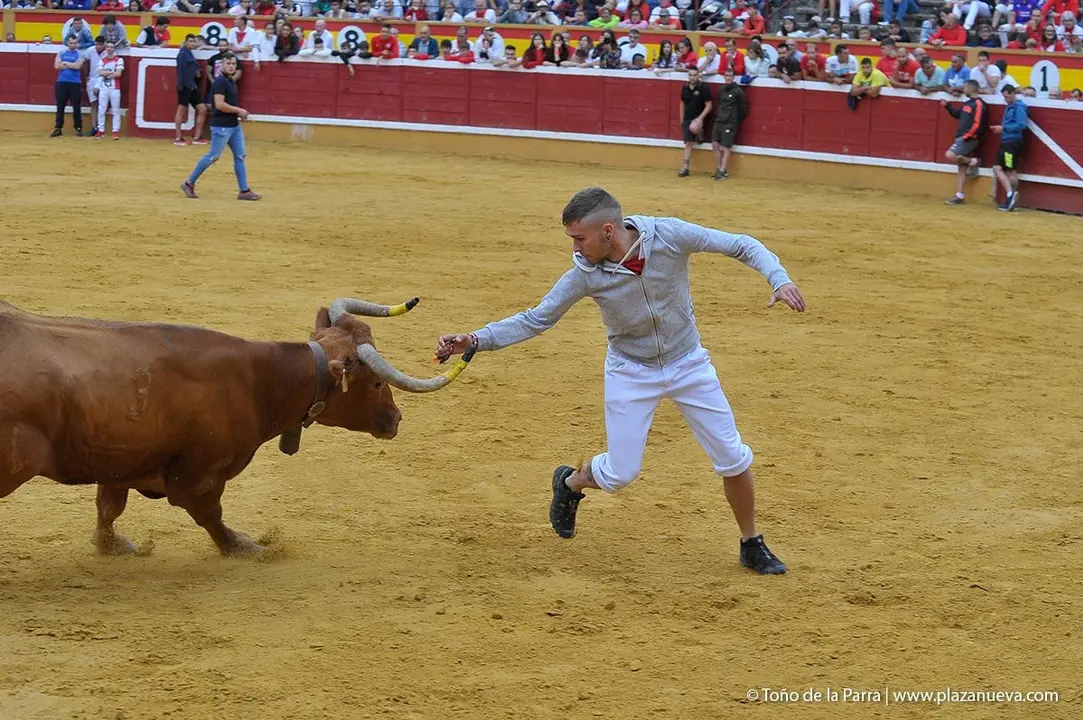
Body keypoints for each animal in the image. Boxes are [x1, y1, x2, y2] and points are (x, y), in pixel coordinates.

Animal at [0, 296, 474, 557]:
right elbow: (211, 515)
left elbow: (108, 509)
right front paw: (244, 547)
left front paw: (111, 547)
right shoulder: (199, 476)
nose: (395, 419)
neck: (259, 380)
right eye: (376, 382)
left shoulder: (119, 462)